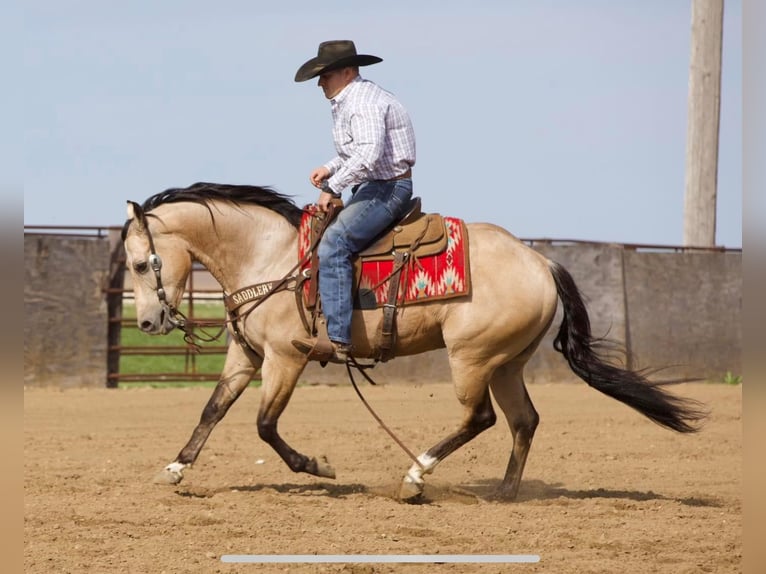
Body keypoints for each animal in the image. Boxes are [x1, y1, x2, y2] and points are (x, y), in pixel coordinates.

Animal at [124, 183, 708, 504]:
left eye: (139, 263)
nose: (149, 323)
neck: (270, 258)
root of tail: (540, 260)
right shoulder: (245, 355)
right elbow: (212, 410)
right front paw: (174, 469)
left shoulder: (285, 358)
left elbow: (265, 425)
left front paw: (318, 466)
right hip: (506, 363)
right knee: (523, 421)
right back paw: (504, 492)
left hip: (471, 357)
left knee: (481, 419)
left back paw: (415, 477)